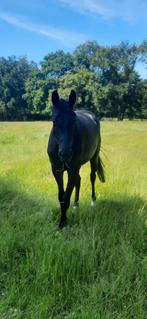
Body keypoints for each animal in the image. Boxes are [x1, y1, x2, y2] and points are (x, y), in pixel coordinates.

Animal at [47, 90, 104, 229]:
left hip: (93, 158)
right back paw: (76, 205)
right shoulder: (56, 170)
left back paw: (93, 201)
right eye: (54, 121)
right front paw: (62, 221)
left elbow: (66, 198)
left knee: (92, 177)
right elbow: (61, 197)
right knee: (78, 180)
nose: (65, 154)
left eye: (73, 120)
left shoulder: (72, 170)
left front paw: (62, 223)